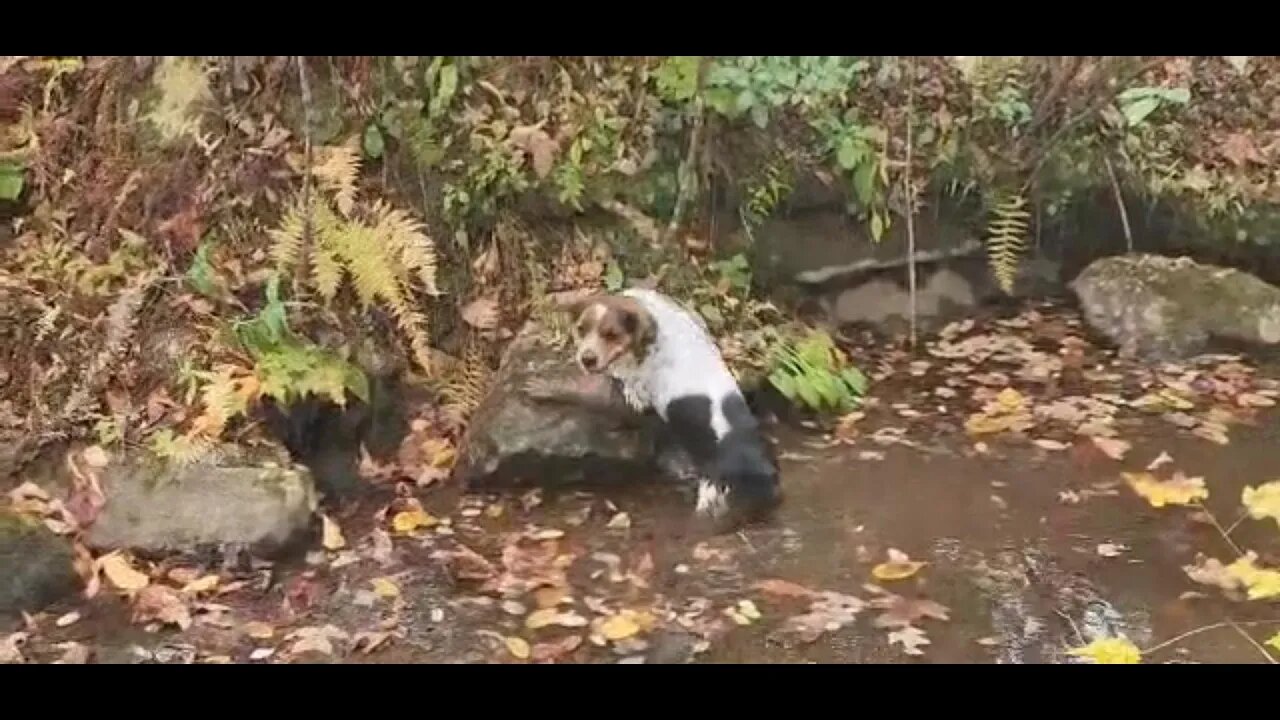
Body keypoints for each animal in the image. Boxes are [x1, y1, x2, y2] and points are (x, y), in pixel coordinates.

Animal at [524, 285, 783, 527]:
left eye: (612, 334)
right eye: (581, 329)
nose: (587, 359)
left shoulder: (629, 396)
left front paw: (547, 387)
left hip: (712, 499)